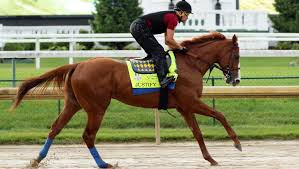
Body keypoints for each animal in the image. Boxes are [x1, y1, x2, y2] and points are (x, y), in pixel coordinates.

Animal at [11, 31, 241, 168]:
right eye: (237, 55)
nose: (236, 79)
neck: (190, 64)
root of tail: (78, 64)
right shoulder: (190, 102)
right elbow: (220, 115)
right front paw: (237, 143)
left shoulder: (184, 107)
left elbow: (198, 133)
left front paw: (210, 158)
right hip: (97, 107)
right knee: (88, 135)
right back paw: (104, 164)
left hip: (74, 104)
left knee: (55, 127)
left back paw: (37, 159)